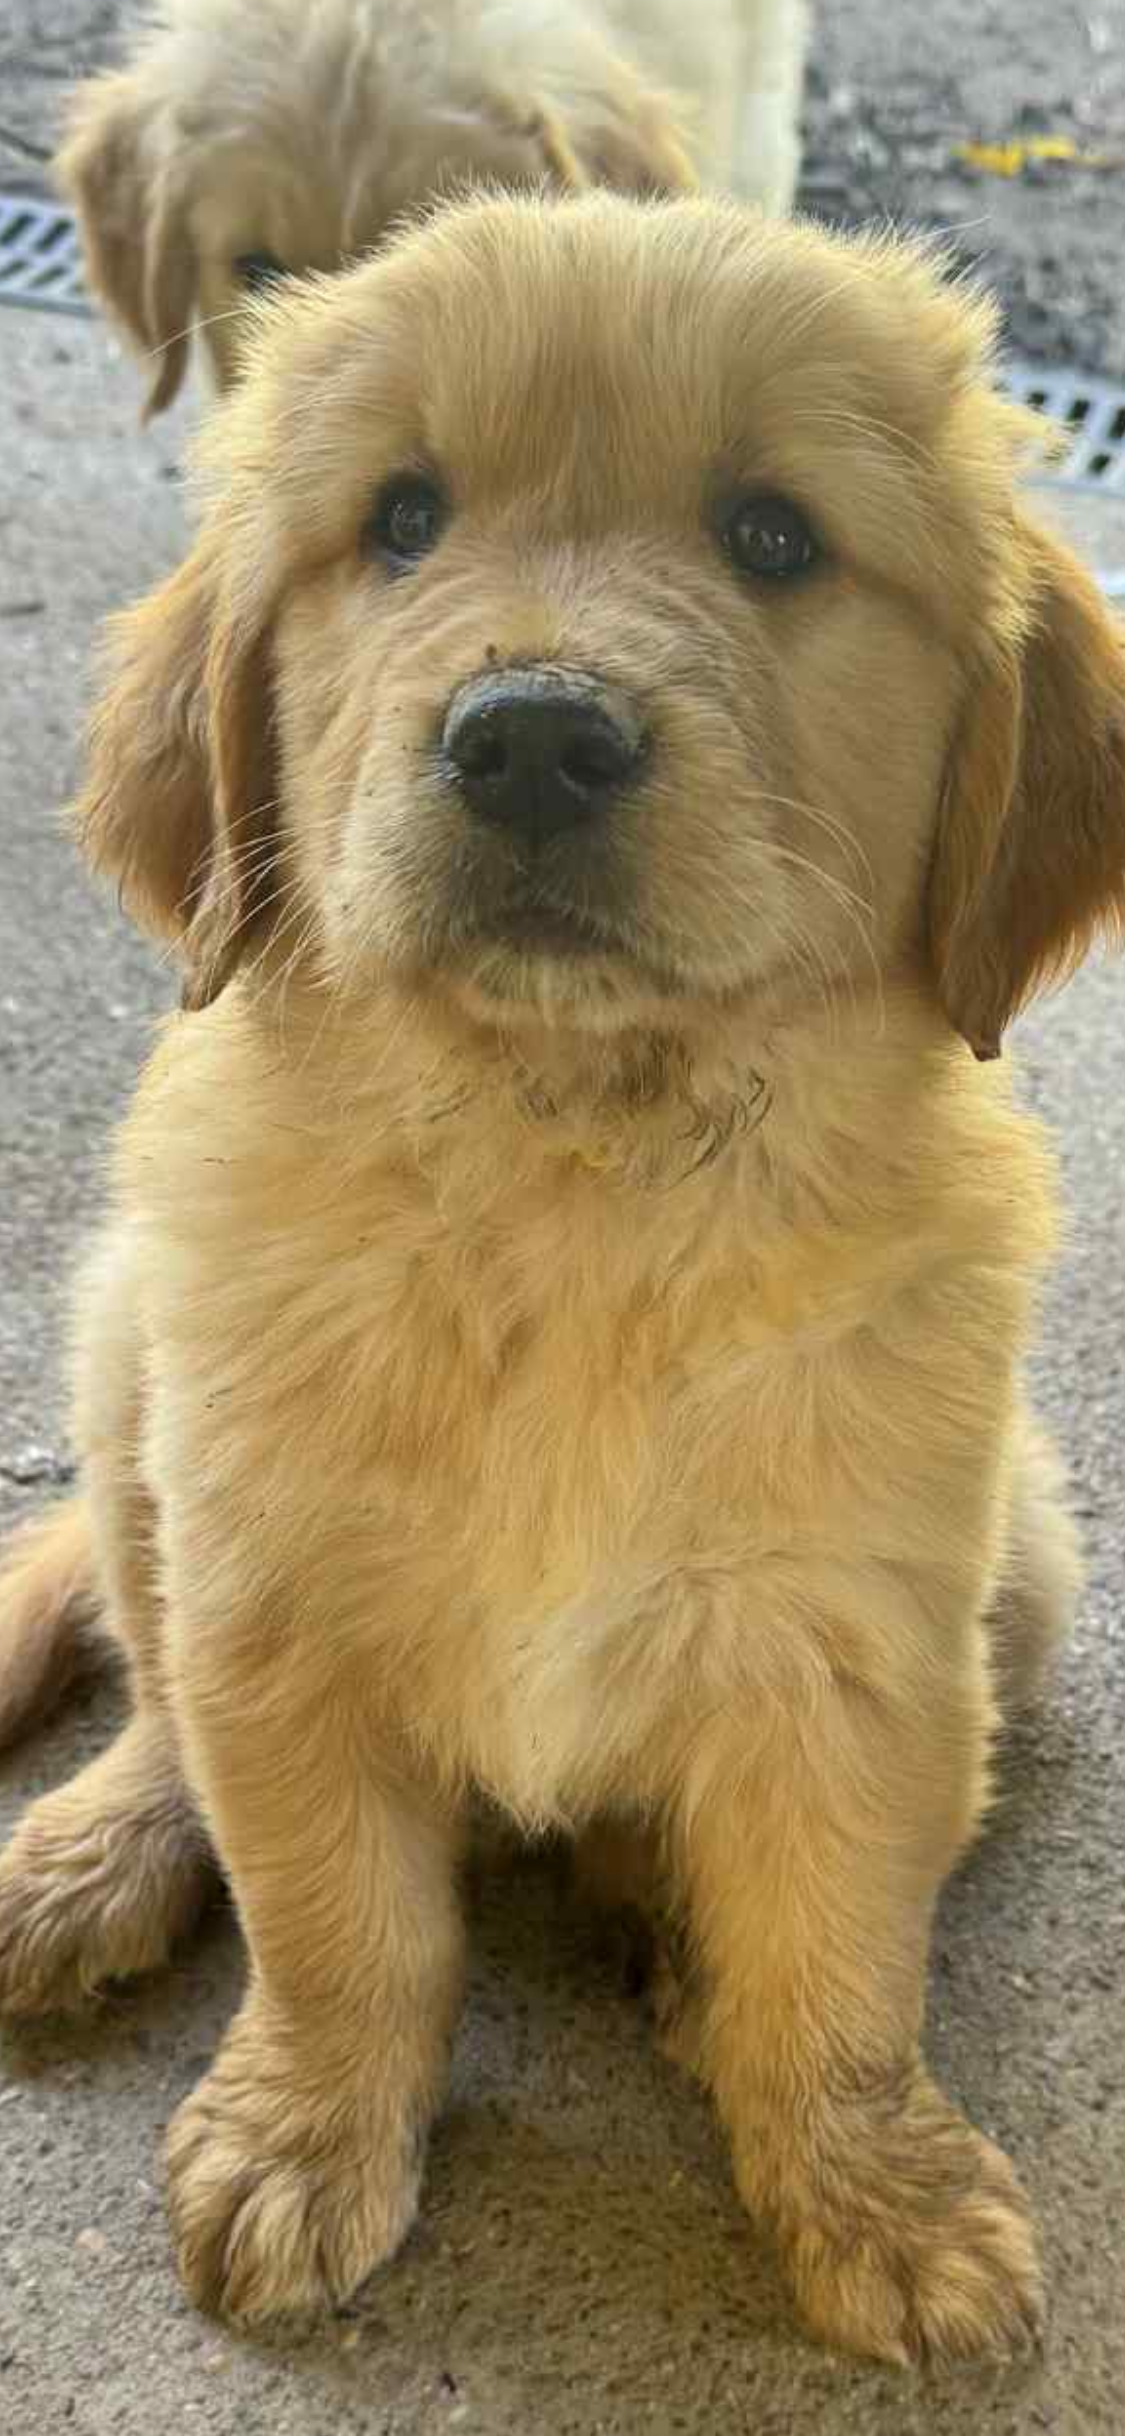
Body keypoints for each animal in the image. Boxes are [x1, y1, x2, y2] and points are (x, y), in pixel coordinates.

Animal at [1, 191, 1123, 2362]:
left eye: (772, 534)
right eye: (402, 520)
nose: (531, 736)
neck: (573, 1182)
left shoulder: (861, 1646)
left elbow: (837, 1960)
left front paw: (874, 2186)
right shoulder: (275, 1611)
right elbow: (333, 1923)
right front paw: (300, 2133)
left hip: (1025, 1549)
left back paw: (664, 1934)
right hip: (123, 1366)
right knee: (144, 1671)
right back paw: (89, 1856)